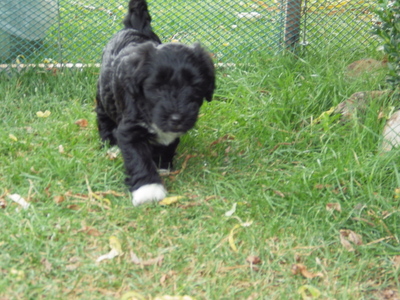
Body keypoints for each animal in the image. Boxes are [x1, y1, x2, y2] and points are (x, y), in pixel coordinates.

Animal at [95, 0, 216, 206]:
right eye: (158, 87)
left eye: (193, 86)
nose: (176, 118)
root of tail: (134, 27)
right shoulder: (129, 131)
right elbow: (138, 158)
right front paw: (148, 188)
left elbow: (168, 144)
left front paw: (162, 165)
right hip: (103, 93)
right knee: (102, 115)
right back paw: (109, 144)